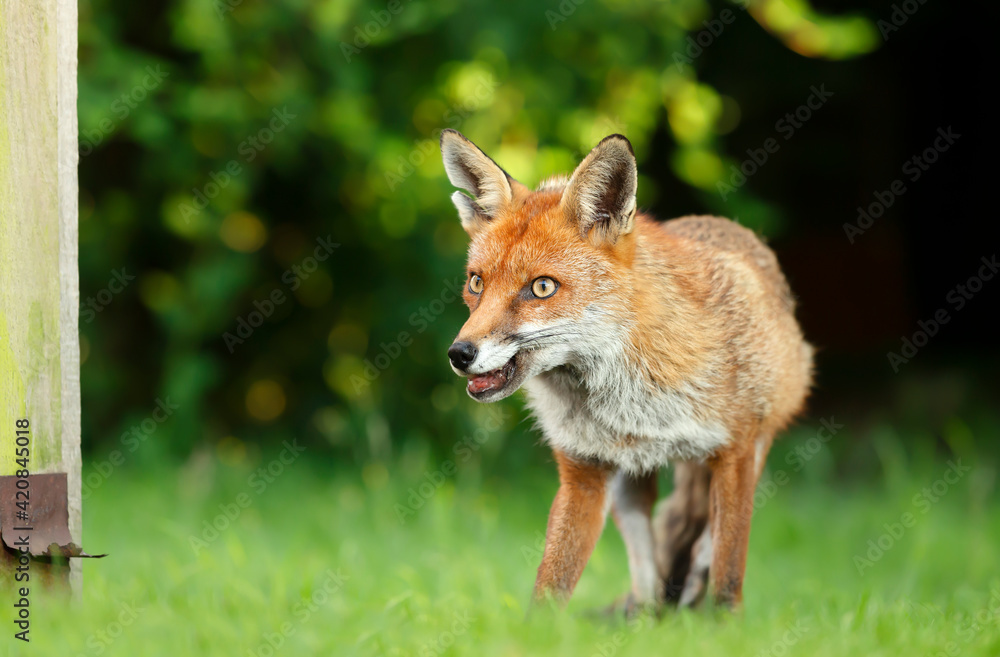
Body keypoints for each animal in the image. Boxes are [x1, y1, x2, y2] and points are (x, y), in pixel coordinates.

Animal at [440, 128, 813, 613]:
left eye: (542, 287)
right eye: (476, 283)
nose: (459, 353)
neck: (635, 394)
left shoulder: (737, 451)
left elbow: (728, 567)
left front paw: (724, 623)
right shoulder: (584, 470)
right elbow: (553, 580)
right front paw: (537, 627)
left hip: (756, 444)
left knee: (703, 543)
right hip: (628, 486)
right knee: (648, 569)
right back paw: (646, 614)